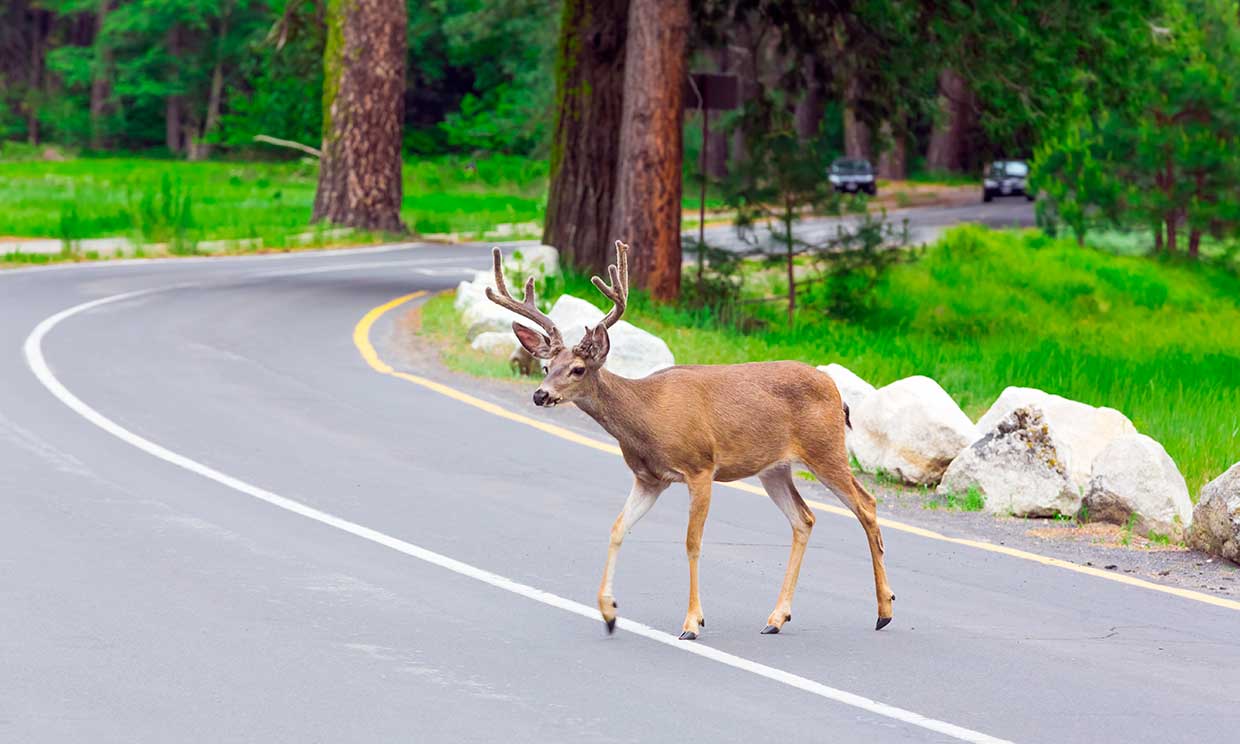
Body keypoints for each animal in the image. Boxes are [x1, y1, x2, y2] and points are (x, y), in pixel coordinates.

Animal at [481, 241, 892, 634]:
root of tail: (837, 391)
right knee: (804, 518)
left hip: (825, 448)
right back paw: (777, 618)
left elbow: (692, 542)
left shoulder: (700, 468)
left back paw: (884, 611)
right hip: (774, 468)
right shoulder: (649, 479)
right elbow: (617, 528)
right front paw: (609, 613)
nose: (540, 395)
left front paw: (693, 623)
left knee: (867, 505)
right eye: (546, 366)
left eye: (578, 369)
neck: (646, 417)